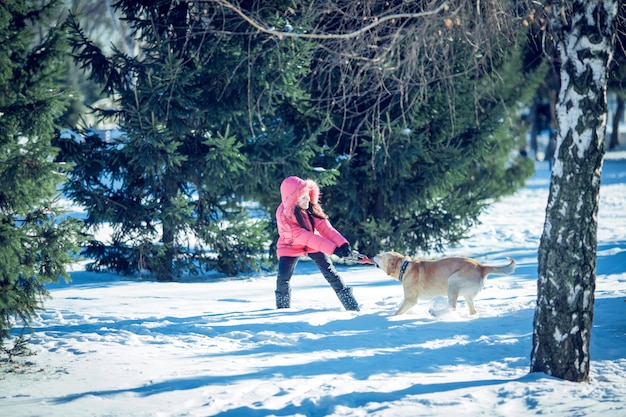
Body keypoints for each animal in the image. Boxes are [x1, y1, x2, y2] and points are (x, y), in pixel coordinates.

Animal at [372, 250, 516, 316]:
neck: (404, 267)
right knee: (472, 310)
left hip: (453, 282)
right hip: (467, 295)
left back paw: (438, 313)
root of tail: (481, 266)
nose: (374, 254)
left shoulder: (411, 300)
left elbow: (398, 311)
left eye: (382, 256)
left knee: (453, 307)